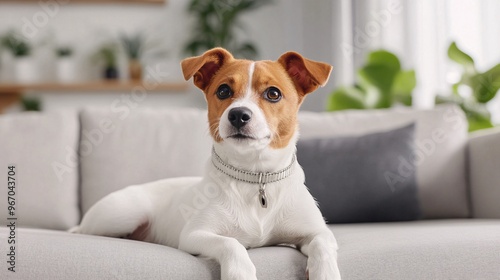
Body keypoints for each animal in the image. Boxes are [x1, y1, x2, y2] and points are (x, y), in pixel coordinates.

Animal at [70, 48, 342, 280]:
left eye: (273, 94)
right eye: (223, 91)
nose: (238, 115)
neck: (255, 176)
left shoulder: (316, 231)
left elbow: (323, 244)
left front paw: (326, 273)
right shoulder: (194, 235)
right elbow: (231, 243)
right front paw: (240, 274)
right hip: (121, 214)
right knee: (84, 231)